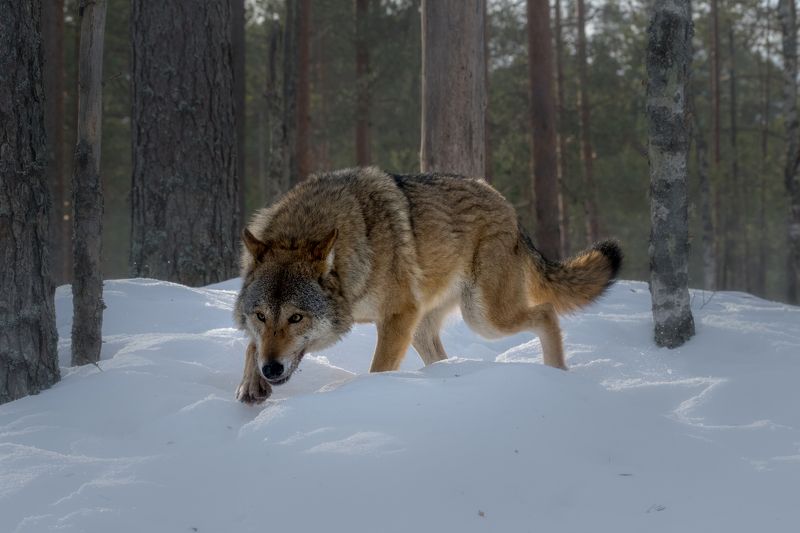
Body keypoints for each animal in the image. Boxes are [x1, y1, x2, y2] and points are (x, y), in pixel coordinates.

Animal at [234, 167, 621, 403]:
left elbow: (379, 369)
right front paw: (250, 382)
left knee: (546, 312)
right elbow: (251, 346)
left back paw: (556, 376)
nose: (271, 369)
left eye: (296, 318)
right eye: (261, 316)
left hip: (483, 318)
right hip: (427, 328)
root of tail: (508, 207)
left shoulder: (398, 316)